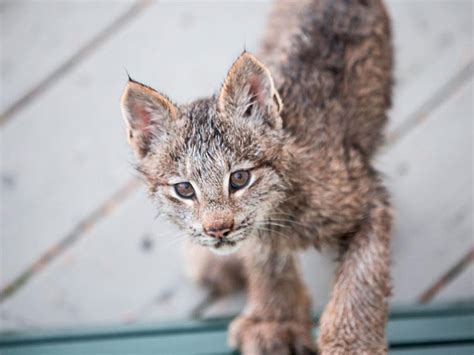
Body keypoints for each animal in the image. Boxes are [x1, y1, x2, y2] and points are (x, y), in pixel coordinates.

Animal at [120, 0, 390, 355]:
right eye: (184, 189)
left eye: (239, 179)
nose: (217, 230)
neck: (282, 205)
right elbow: (265, 258)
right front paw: (275, 322)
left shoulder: (369, 198)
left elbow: (361, 280)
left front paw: (352, 344)